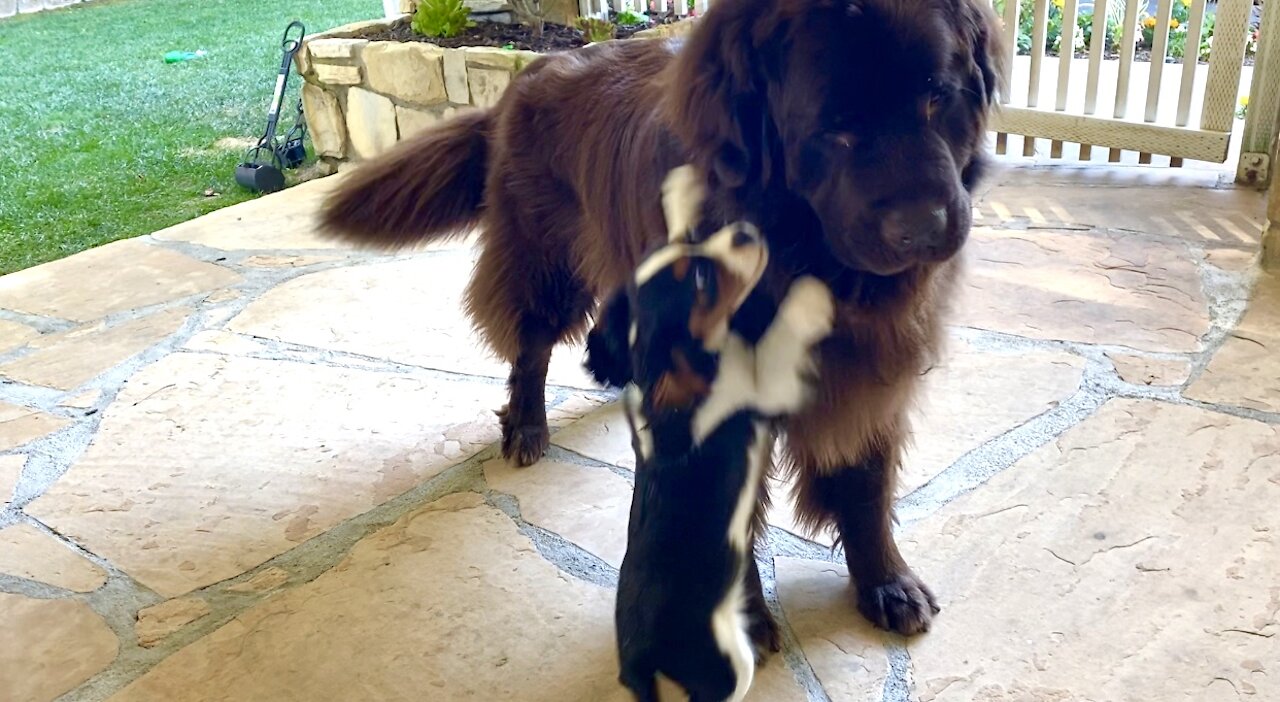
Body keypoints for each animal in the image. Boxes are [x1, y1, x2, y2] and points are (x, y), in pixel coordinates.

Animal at [325, 0, 1003, 635]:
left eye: (937, 97)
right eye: (834, 126)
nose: (925, 228)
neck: (796, 256)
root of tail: (530, 73)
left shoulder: (873, 366)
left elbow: (866, 480)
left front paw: (887, 583)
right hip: (547, 263)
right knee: (531, 344)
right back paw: (526, 426)